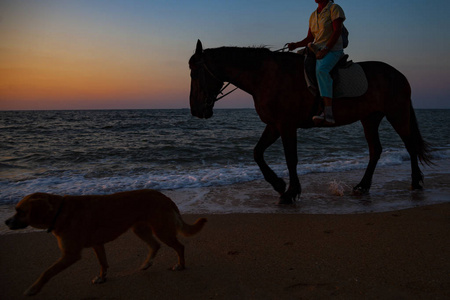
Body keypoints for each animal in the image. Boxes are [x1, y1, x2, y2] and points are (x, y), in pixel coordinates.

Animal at [4, 190, 207, 296]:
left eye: (20, 211)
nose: (5, 222)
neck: (59, 211)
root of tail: (165, 196)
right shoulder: (97, 244)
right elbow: (103, 263)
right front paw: (102, 278)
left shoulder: (70, 254)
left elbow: (47, 272)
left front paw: (33, 288)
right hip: (140, 229)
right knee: (155, 245)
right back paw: (146, 264)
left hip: (162, 230)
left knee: (179, 246)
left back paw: (180, 265)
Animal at [188, 39, 430, 204]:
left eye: (194, 73)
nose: (196, 110)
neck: (266, 76)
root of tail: (399, 75)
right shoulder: (274, 125)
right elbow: (257, 153)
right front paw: (279, 184)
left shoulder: (286, 125)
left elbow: (291, 159)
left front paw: (290, 192)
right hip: (369, 119)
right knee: (375, 150)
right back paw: (362, 186)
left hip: (397, 114)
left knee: (409, 145)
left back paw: (416, 182)